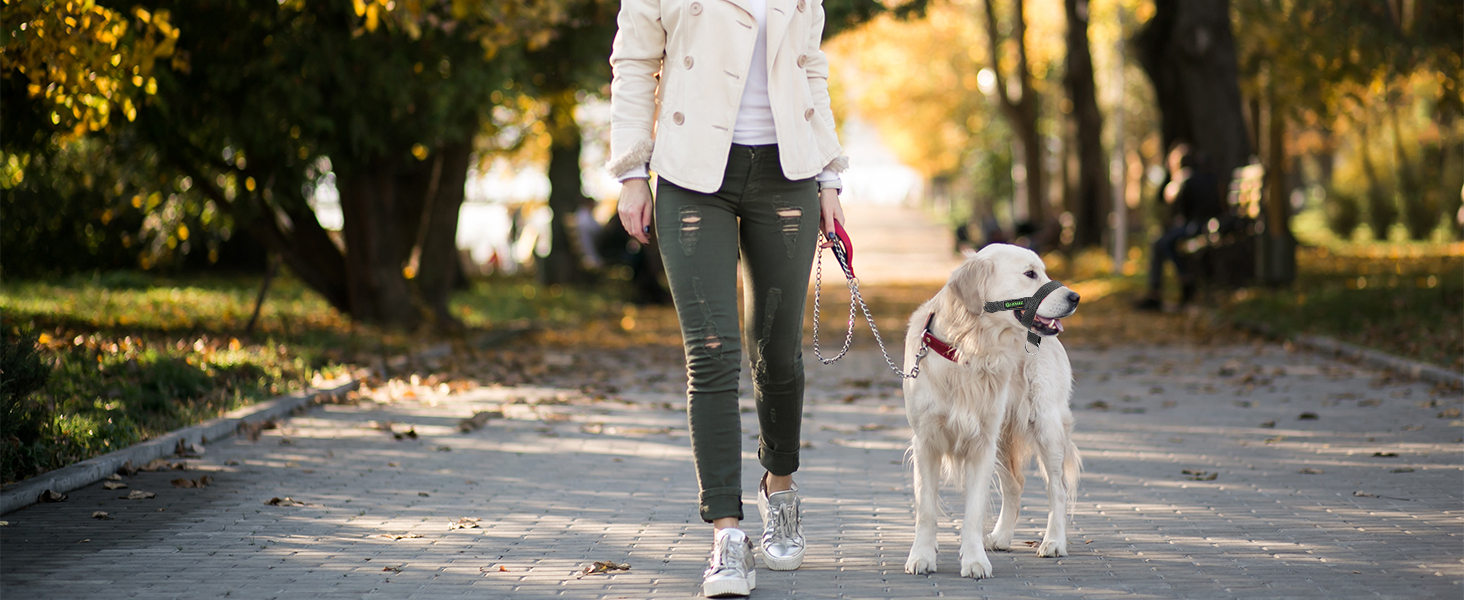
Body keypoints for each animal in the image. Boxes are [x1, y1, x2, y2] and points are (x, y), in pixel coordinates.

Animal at [895, 242, 1083, 576]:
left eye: (1044, 271)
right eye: (1030, 274)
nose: (1076, 297)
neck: (968, 349)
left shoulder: (982, 442)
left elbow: (973, 510)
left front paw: (974, 560)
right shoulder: (926, 440)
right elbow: (926, 508)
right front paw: (922, 556)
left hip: (1045, 424)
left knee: (1058, 487)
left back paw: (1053, 542)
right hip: (1005, 436)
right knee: (1015, 484)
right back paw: (1002, 536)